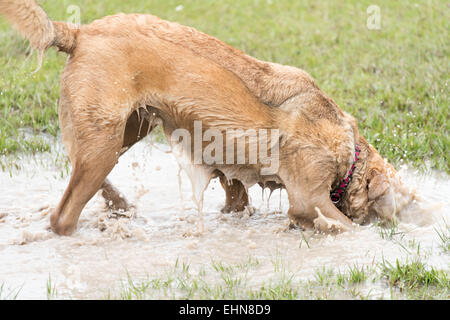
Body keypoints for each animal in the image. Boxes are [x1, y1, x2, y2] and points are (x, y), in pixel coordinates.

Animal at [0, 0, 414, 235]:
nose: (397, 219)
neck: (348, 149)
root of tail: (79, 32)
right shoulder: (308, 199)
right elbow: (344, 226)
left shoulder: (225, 165)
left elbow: (236, 201)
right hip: (103, 140)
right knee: (63, 215)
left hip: (123, 131)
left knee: (82, 171)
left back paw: (121, 206)